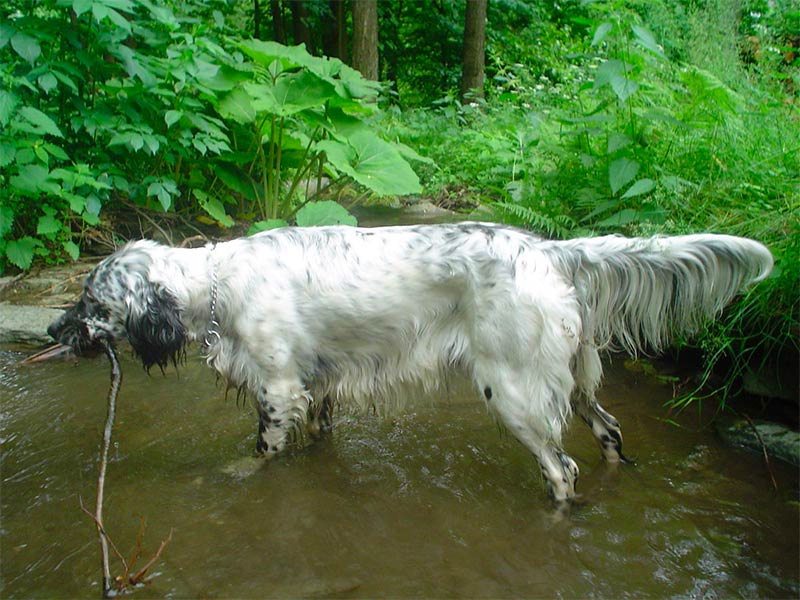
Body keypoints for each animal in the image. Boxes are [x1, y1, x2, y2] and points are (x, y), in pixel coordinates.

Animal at [47, 223, 772, 504]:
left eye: (91, 302)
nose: (55, 328)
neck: (216, 283)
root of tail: (550, 251)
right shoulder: (317, 387)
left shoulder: (278, 390)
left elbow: (260, 453)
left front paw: (233, 477)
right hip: (571, 380)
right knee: (610, 431)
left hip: (514, 391)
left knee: (561, 469)